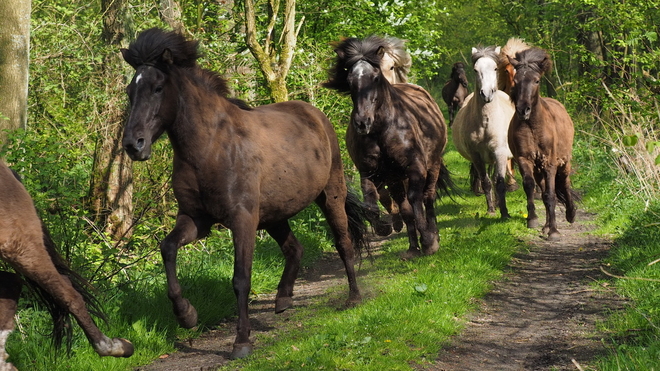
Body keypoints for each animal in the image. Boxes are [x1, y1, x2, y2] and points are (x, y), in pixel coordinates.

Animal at [118, 28, 366, 360]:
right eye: (130, 92)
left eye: (158, 88)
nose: (133, 145)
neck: (210, 148)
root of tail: (315, 114)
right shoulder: (196, 219)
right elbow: (167, 249)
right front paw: (187, 315)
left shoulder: (242, 220)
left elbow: (241, 279)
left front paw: (242, 341)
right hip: (274, 215)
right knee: (294, 248)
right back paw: (283, 299)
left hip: (330, 195)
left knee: (343, 243)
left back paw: (353, 297)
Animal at [324, 37, 454, 258]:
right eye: (350, 80)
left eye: (375, 77)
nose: (362, 122)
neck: (382, 130)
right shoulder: (370, 173)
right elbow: (371, 204)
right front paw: (385, 228)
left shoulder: (416, 167)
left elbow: (416, 199)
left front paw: (428, 241)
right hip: (395, 178)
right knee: (404, 206)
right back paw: (412, 247)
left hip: (433, 165)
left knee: (428, 197)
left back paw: (433, 235)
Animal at [454, 45, 516, 218]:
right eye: (476, 70)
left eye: (495, 68)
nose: (487, 94)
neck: (486, 123)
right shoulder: (476, 156)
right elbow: (486, 182)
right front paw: (491, 210)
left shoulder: (500, 153)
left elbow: (499, 183)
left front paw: (505, 213)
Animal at [508, 47, 576, 241]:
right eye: (516, 80)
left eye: (536, 80)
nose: (523, 110)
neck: (532, 126)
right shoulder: (525, 159)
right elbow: (530, 187)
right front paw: (533, 220)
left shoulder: (550, 162)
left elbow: (551, 194)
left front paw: (554, 231)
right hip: (539, 170)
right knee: (544, 187)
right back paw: (546, 226)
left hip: (564, 163)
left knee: (565, 184)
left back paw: (570, 214)